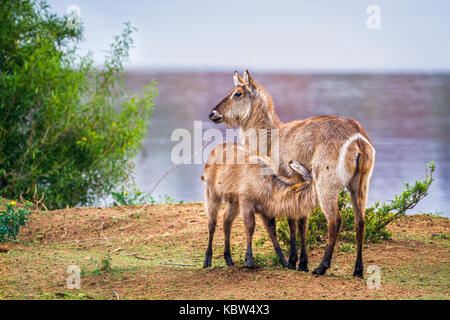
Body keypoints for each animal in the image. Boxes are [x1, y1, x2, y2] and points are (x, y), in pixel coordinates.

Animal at [209, 70, 374, 278]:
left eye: (237, 93)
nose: (212, 113)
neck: (270, 136)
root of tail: (357, 136)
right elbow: (302, 221)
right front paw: (301, 262)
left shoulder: (289, 180)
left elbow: (292, 221)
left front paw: (295, 260)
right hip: (360, 185)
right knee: (360, 221)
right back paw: (358, 270)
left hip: (326, 183)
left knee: (334, 220)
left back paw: (322, 266)